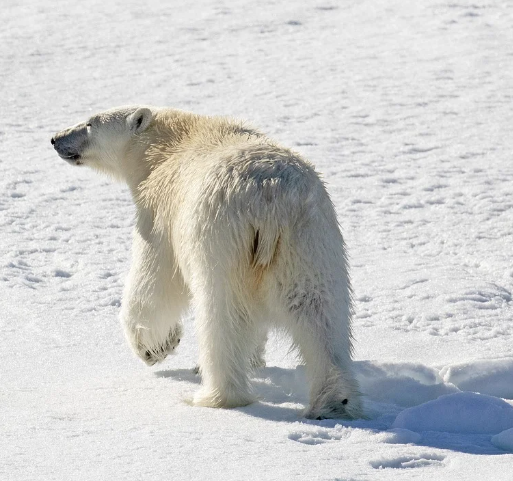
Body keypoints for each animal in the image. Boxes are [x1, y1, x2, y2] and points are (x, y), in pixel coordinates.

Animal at [52, 104, 362, 416]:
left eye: (89, 124)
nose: (55, 139)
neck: (169, 145)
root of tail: (270, 196)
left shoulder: (160, 214)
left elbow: (153, 282)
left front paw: (156, 347)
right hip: (309, 240)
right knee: (319, 312)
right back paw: (334, 402)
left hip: (222, 239)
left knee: (223, 316)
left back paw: (216, 395)